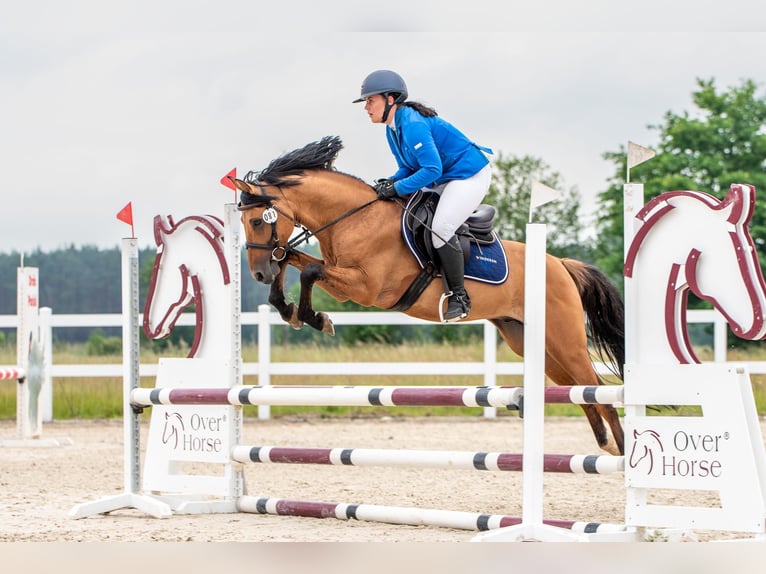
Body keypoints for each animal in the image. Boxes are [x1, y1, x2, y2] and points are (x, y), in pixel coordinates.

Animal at [236, 137, 632, 456]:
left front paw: (315, 318)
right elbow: (291, 257)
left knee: (596, 387)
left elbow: (307, 271)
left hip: (565, 340)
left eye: (257, 221)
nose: (257, 274)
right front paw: (288, 308)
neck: (354, 219)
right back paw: (607, 445)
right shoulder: (340, 276)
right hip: (535, 344)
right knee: (581, 390)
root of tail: (561, 264)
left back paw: (622, 450)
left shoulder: (365, 288)